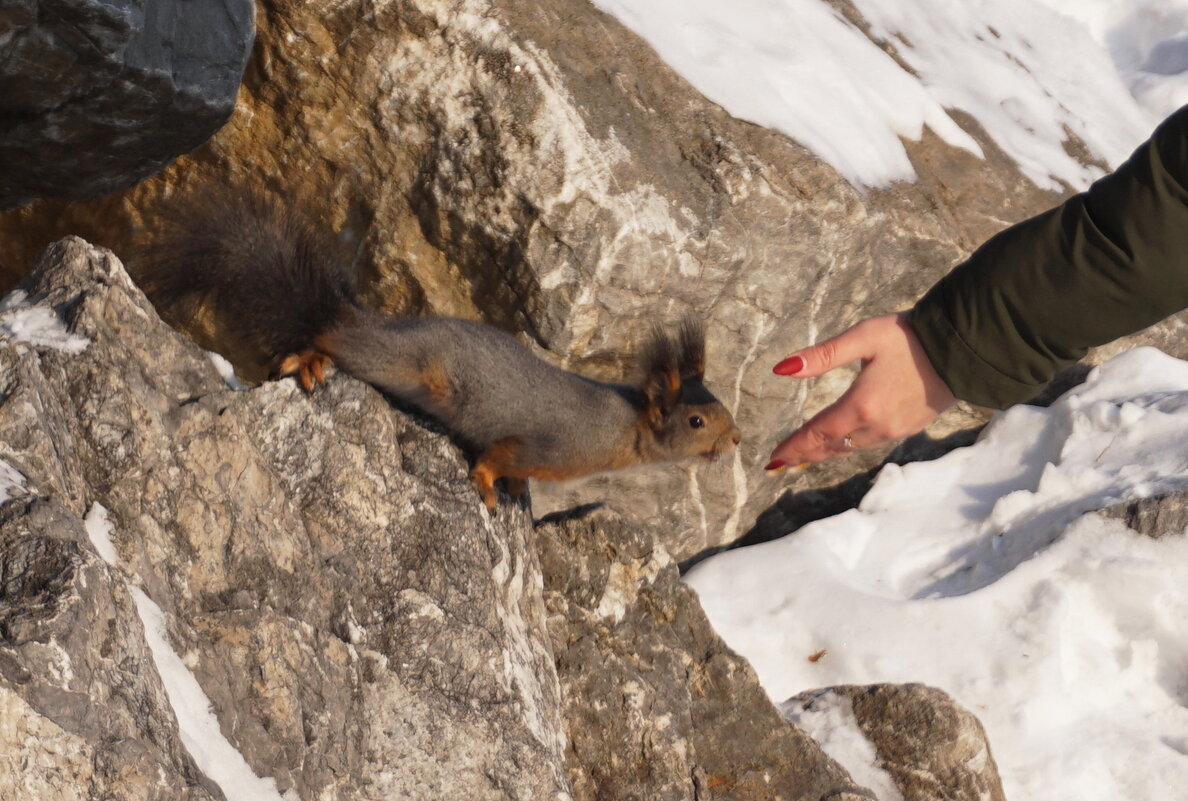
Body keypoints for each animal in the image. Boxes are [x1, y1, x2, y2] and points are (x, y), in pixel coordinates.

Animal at [132, 188, 741, 506]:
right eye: (695, 422)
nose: (736, 440)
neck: (620, 428)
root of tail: (362, 318)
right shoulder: (542, 443)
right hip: (396, 361)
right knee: (329, 338)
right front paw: (489, 488)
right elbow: (496, 457)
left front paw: (517, 493)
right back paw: (309, 359)